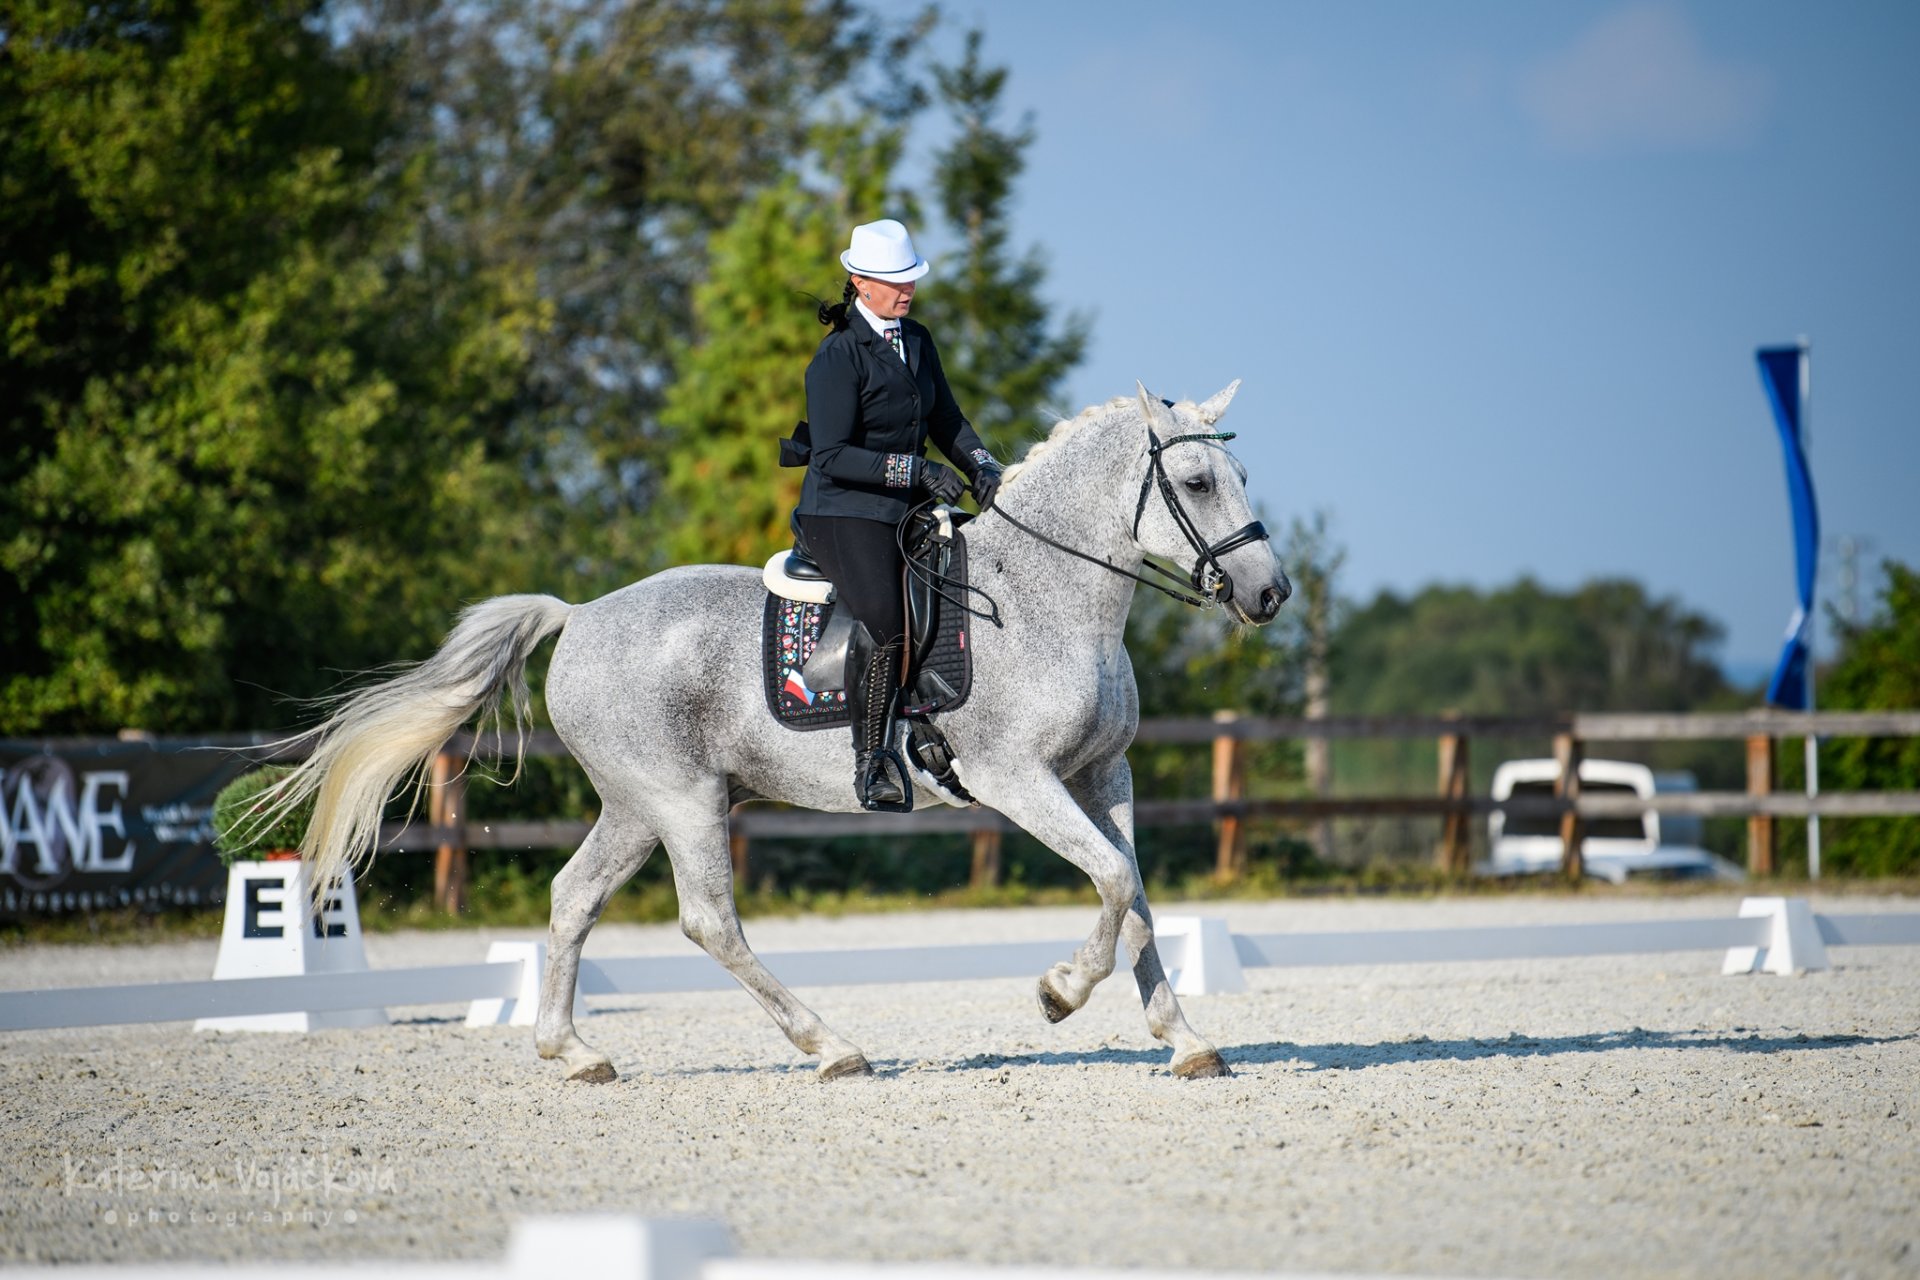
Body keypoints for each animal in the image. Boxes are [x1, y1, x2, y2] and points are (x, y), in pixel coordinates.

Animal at [274, 379, 1290, 1082]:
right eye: (1196, 480)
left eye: (1242, 474)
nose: (1269, 592)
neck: (1050, 599)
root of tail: (582, 614)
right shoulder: (1017, 779)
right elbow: (1114, 880)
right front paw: (1059, 994)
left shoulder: (1102, 775)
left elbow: (1139, 896)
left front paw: (1186, 1042)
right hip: (681, 801)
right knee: (709, 920)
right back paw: (831, 1046)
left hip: (636, 806)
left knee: (573, 899)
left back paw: (575, 1054)